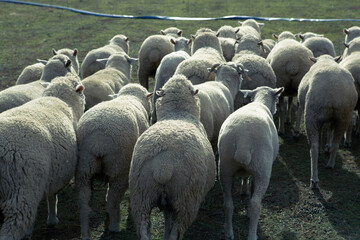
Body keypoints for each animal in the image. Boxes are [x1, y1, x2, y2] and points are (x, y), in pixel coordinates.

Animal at [0, 75, 84, 240]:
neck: (59, 100)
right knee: (14, 226)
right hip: (22, 189)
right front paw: (52, 219)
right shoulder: (56, 173)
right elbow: (52, 196)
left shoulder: (51, 174)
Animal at [76, 83, 153, 240]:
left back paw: (85, 233)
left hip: (84, 168)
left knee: (83, 202)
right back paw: (114, 225)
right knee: (113, 200)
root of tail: (98, 141)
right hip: (119, 167)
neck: (129, 96)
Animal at [129, 74, 215, 239]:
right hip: (186, 200)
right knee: (177, 231)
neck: (177, 114)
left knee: (143, 228)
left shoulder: (167, 205)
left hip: (141, 196)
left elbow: (167, 222)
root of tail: (164, 166)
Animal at [217, 85, 284, 240]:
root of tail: (243, 140)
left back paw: (228, 232)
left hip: (225, 168)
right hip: (262, 170)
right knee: (256, 205)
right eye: (277, 99)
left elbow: (245, 177)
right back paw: (252, 234)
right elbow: (252, 190)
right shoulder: (257, 170)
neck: (260, 102)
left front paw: (243, 190)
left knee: (228, 204)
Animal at [296, 54, 358, 189]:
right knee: (336, 143)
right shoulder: (331, 119)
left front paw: (323, 149)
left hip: (312, 115)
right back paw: (330, 163)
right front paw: (327, 147)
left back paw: (314, 179)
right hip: (343, 115)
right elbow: (330, 132)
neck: (326, 60)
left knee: (313, 147)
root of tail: (332, 89)